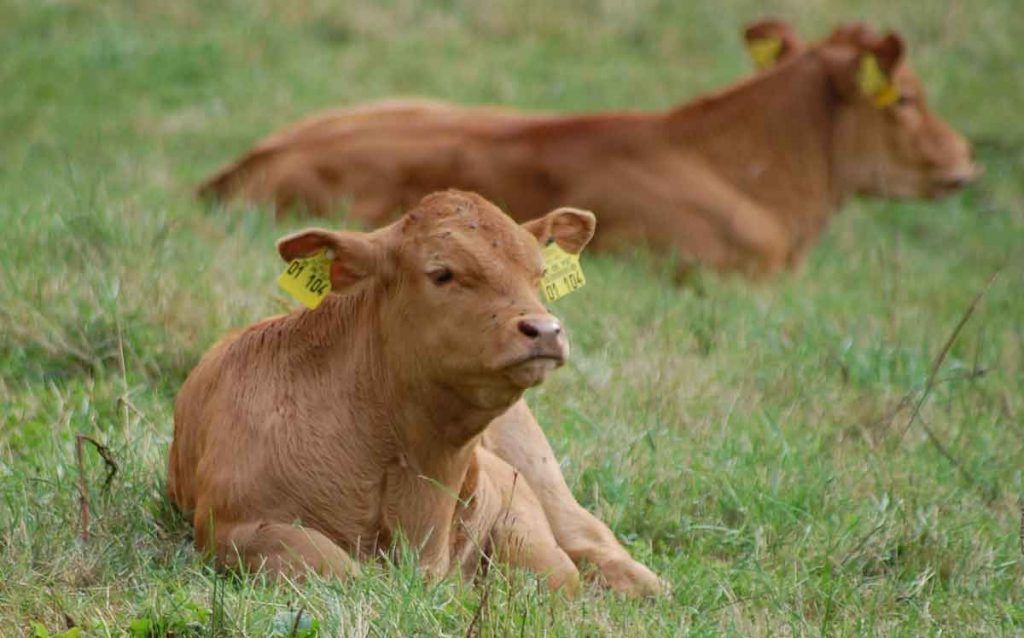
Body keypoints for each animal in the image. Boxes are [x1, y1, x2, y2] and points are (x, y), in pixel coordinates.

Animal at [165, 187, 663, 598]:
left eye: (538, 275)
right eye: (442, 273)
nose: (544, 330)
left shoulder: (511, 489)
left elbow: (555, 573)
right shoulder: (231, 526)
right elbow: (338, 569)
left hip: (540, 468)